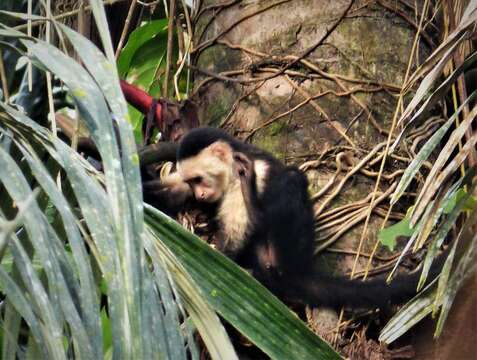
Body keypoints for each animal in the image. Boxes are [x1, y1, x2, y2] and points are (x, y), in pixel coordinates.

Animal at [147, 127, 444, 310]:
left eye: (199, 179)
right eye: (191, 181)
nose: (199, 194)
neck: (232, 174)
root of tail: (301, 271)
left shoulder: (252, 170)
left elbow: (243, 232)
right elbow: (168, 194)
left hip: (294, 252)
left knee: (290, 182)